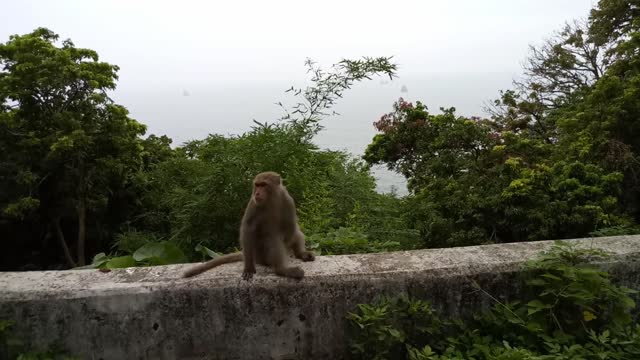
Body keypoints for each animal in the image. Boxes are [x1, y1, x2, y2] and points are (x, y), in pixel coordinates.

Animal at [182, 173, 316, 280]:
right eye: (257, 185)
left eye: (263, 185)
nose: (257, 193)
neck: (271, 199)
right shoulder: (253, 203)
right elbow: (248, 230)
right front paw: (248, 268)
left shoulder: (288, 200)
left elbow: (290, 226)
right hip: (260, 254)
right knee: (272, 239)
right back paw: (281, 270)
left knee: (294, 233)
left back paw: (300, 254)